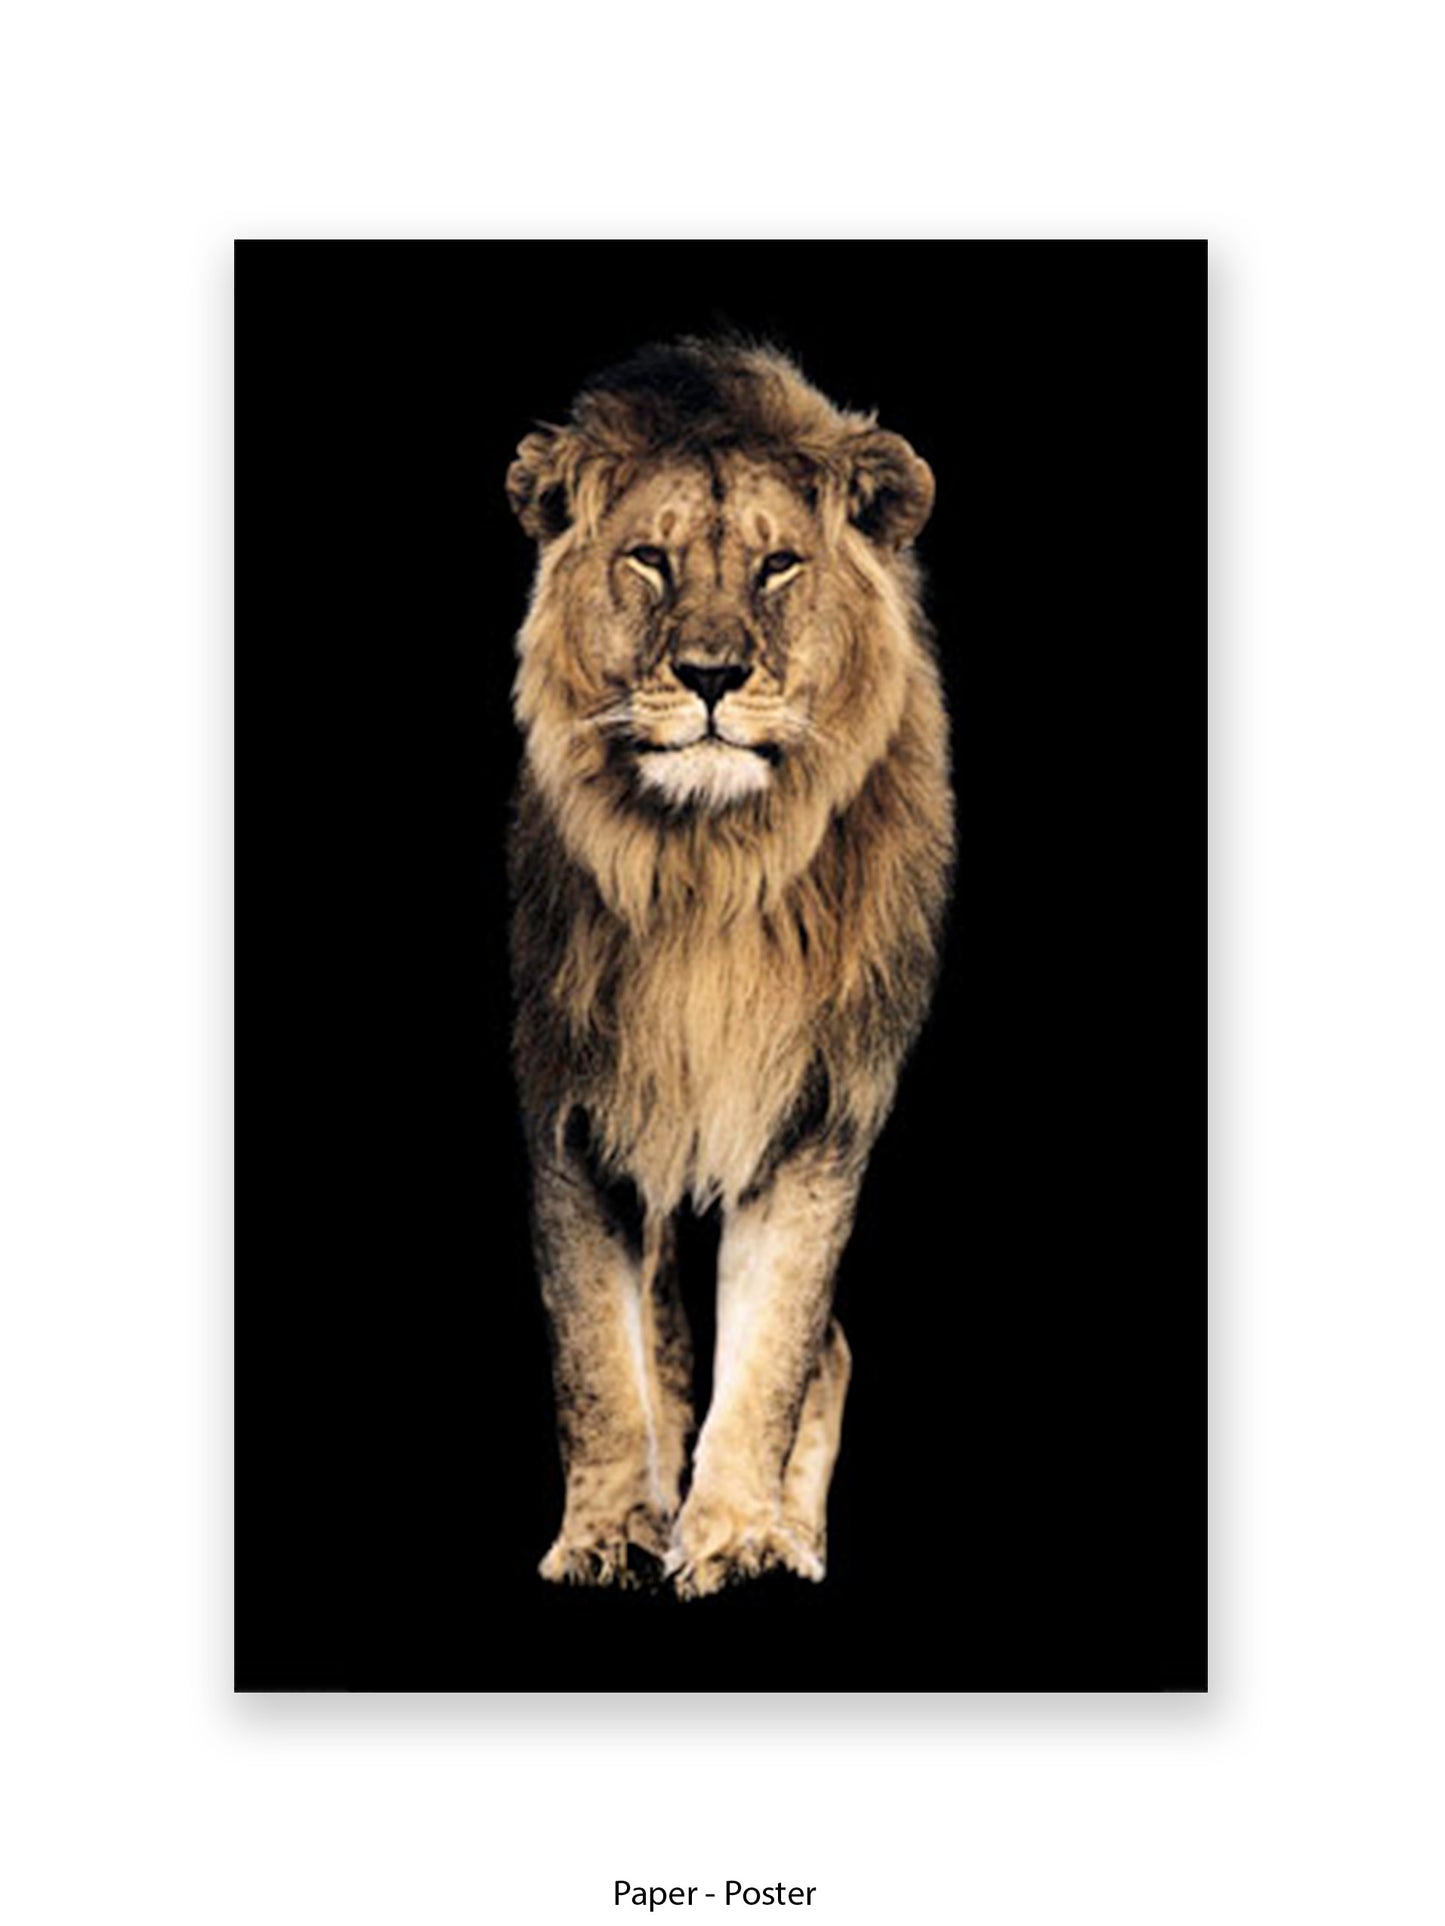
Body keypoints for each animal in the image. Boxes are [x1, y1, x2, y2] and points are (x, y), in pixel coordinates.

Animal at [505, 338, 954, 1597]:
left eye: (779, 565)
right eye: (649, 559)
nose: (710, 673)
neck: (708, 870)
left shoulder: (818, 1108)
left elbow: (775, 1350)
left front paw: (743, 1536)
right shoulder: (570, 1106)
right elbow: (599, 1358)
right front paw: (608, 1534)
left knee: (828, 1354)